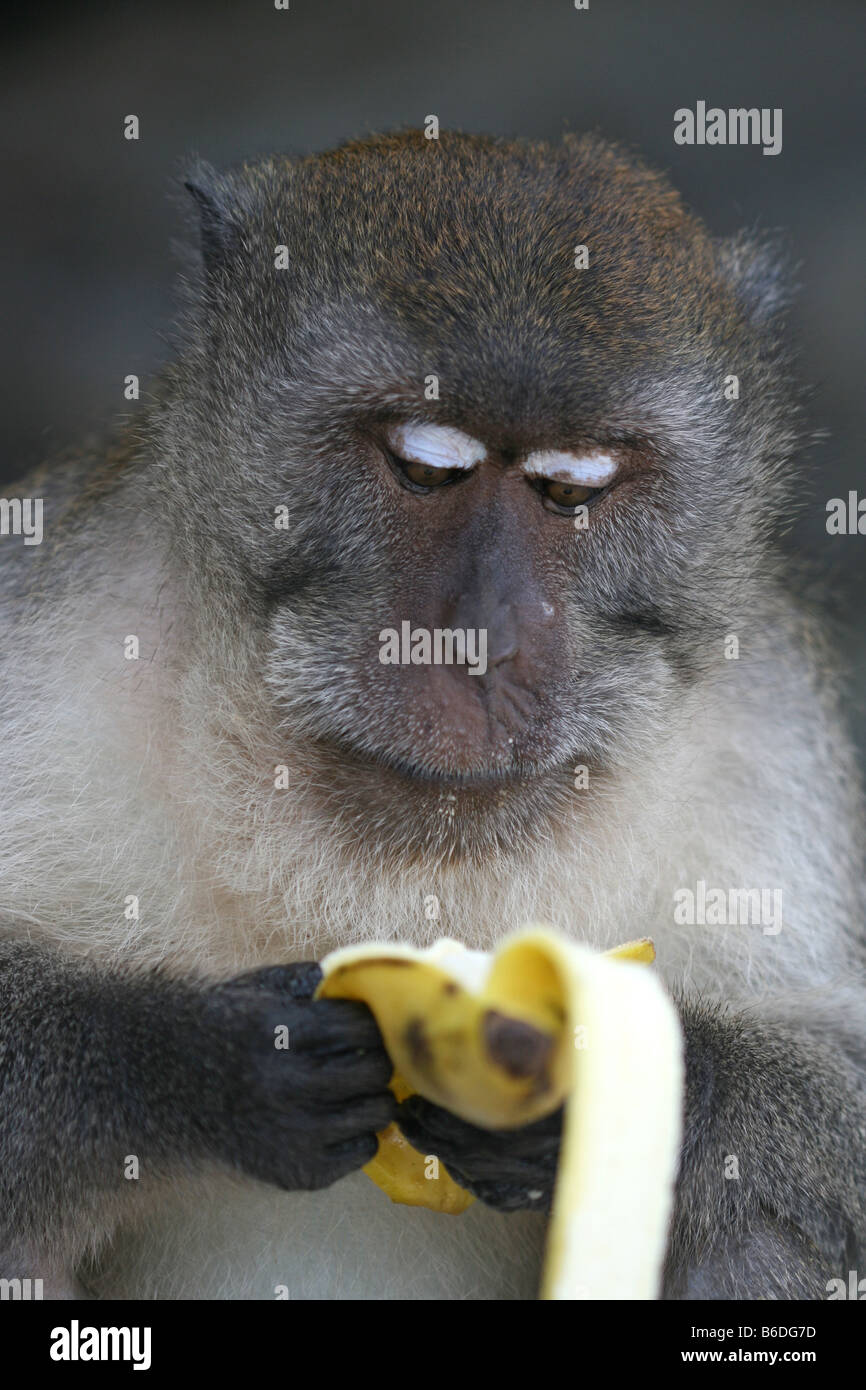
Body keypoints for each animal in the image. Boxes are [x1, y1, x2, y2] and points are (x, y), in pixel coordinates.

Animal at [0, 132, 861, 1301]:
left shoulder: (774, 748)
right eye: (421, 467)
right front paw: (206, 1062)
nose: (479, 643)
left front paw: (591, 1075)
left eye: (571, 492)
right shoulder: (53, 638)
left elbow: (834, 1100)